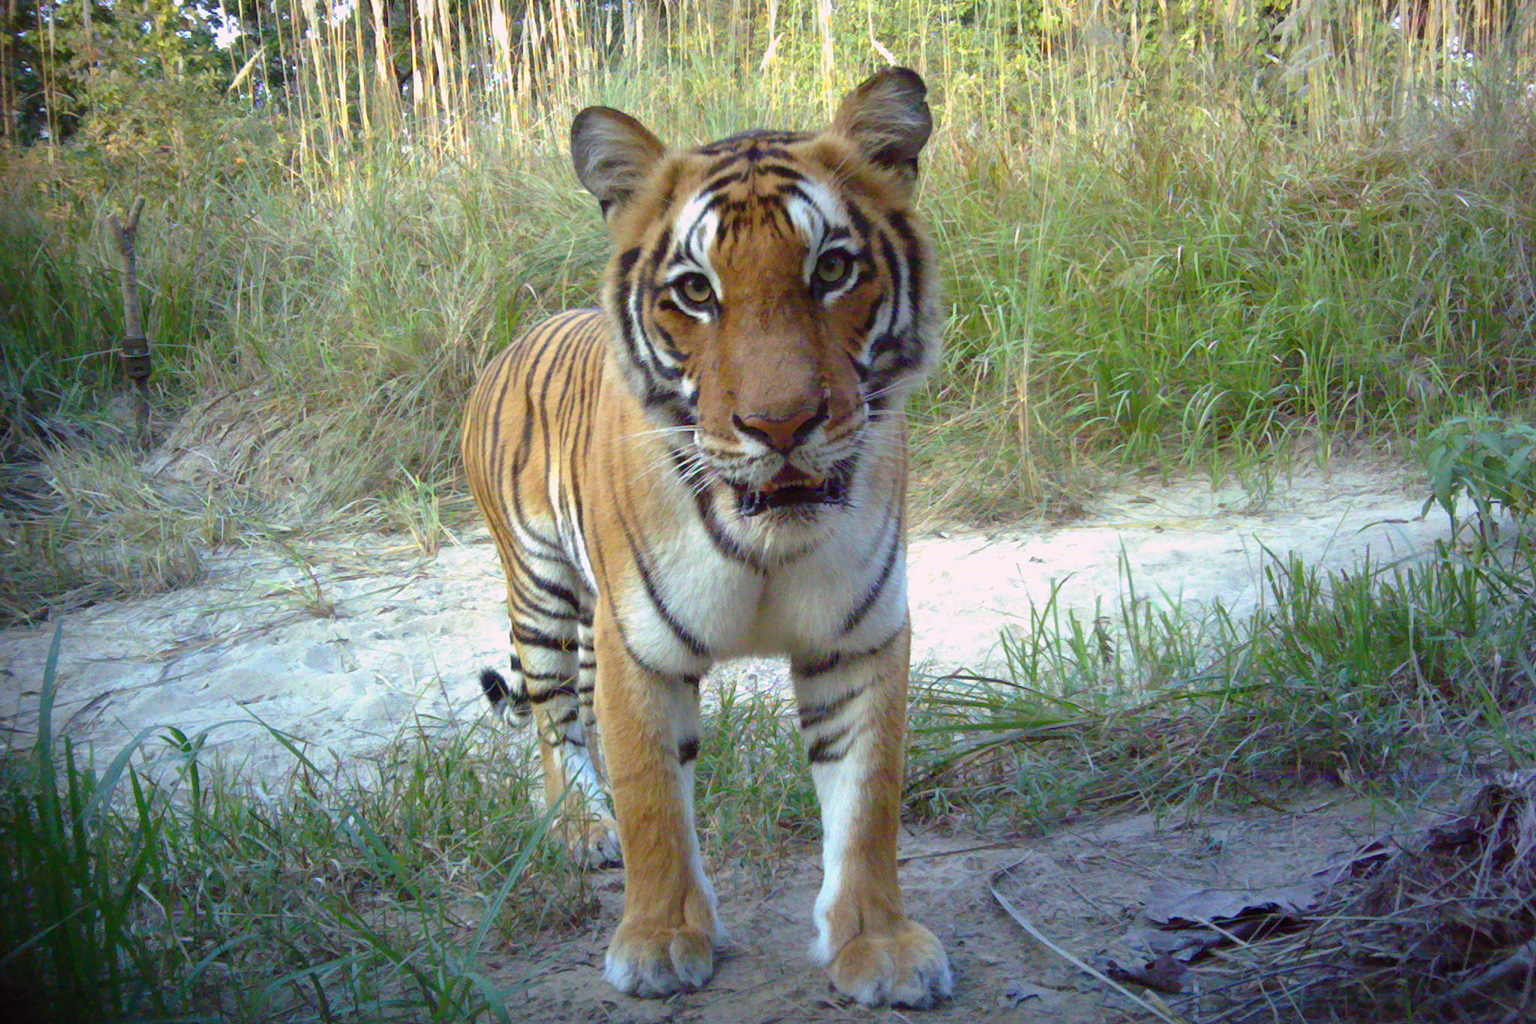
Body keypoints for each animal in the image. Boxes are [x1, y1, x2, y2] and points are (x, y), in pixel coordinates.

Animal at [460, 67, 952, 1007]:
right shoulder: (640, 649)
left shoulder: (858, 639)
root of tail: (515, 340)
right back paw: (582, 824)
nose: (781, 424)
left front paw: (878, 945)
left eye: (832, 269)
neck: (768, 539)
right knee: (553, 721)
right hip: (541, 592)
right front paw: (658, 943)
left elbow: (867, 801)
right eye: (695, 290)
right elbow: (652, 796)